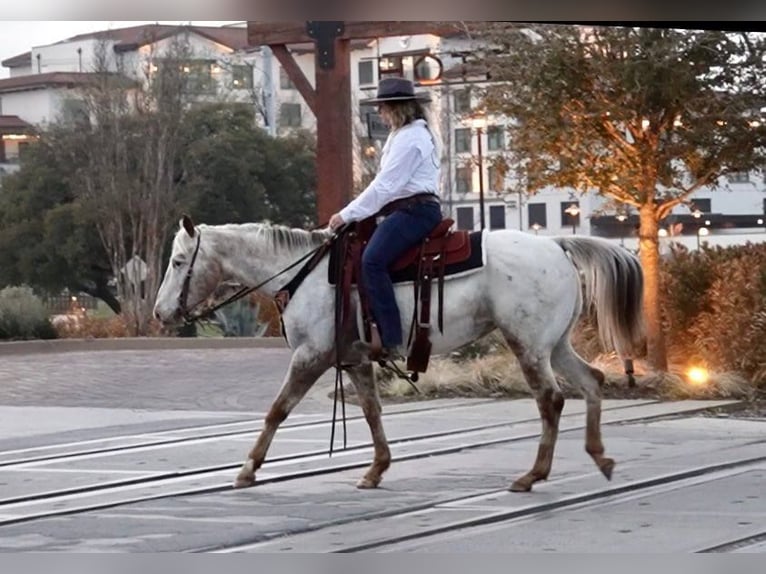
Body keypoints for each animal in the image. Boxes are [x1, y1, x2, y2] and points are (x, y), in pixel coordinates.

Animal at [153, 216, 644, 496]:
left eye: (177, 262)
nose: (159, 312)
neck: (303, 272)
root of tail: (557, 244)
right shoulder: (353, 359)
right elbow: (372, 411)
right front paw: (376, 470)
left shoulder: (311, 356)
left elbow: (277, 410)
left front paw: (247, 469)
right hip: (554, 344)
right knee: (592, 381)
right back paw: (599, 457)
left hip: (528, 345)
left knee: (551, 400)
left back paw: (533, 475)